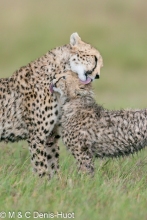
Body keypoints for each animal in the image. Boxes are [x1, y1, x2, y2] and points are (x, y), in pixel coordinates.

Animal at [0, 33, 103, 180]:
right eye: (95, 58)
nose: (98, 75)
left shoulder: (51, 136)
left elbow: (53, 163)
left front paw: (55, 182)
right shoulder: (37, 136)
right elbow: (41, 165)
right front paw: (42, 182)